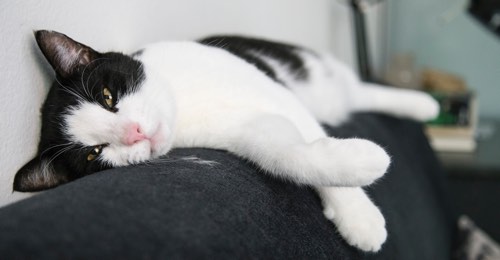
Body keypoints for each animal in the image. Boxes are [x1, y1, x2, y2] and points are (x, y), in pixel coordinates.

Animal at [14, 30, 438, 252]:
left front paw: (358, 212)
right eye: (95, 154)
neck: (182, 104)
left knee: (359, 92)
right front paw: (361, 177)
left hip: (318, 77)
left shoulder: (277, 94)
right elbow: (288, 156)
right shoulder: (252, 130)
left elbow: (308, 129)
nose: (135, 133)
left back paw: (421, 104)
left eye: (107, 96)